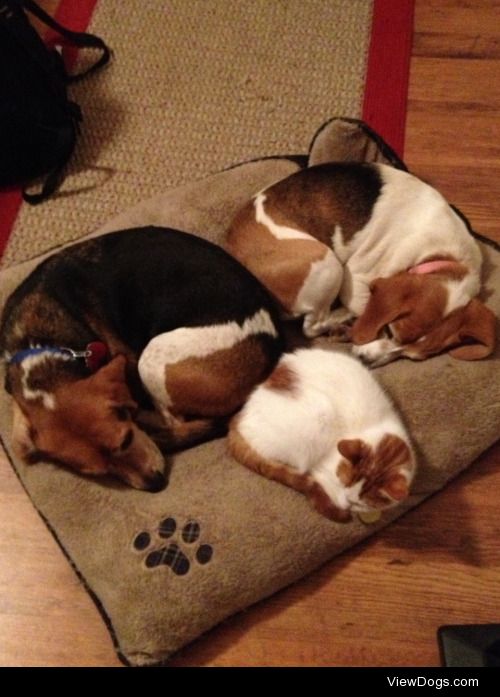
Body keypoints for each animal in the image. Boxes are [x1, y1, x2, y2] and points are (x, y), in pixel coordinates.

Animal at [0, 227, 282, 490]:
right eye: (100, 473)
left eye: (126, 439)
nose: (155, 484)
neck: (40, 345)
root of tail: (271, 344)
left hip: (151, 358)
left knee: (174, 420)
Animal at [227, 162, 496, 364]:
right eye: (389, 330)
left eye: (411, 357)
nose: (367, 362)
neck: (443, 256)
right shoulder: (355, 279)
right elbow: (362, 306)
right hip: (328, 264)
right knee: (311, 325)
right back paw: (339, 321)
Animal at [229, 348, 416, 520]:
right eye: (341, 483)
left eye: (359, 503)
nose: (346, 505)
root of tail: (240, 416)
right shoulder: (321, 472)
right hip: (319, 414)